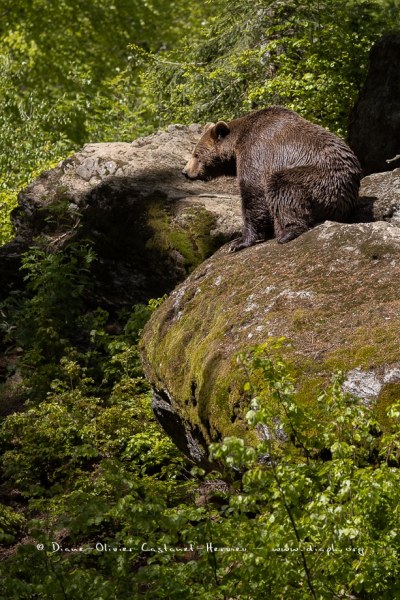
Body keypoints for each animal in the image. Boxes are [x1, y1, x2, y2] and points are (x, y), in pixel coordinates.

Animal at [182, 106, 362, 250]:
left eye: (196, 154)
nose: (185, 172)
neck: (236, 144)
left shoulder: (256, 152)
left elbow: (254, 193)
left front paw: (238, 242)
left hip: (320, 179)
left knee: (283, 187)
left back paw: (287, 233)